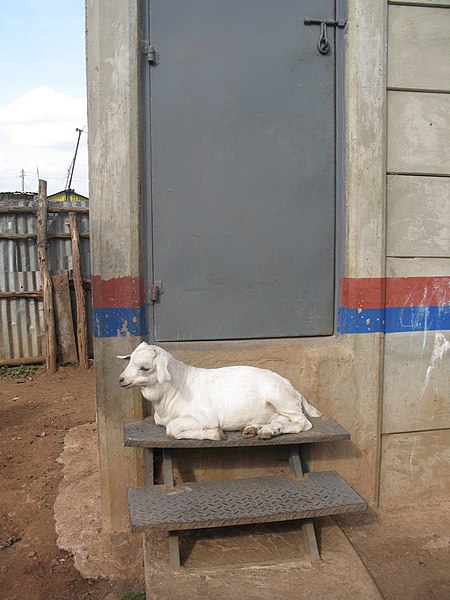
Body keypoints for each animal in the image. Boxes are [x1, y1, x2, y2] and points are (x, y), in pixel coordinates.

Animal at [118, 342, 322, 440]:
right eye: (130, 360)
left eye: (145, 368)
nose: (121, 380)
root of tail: (293, 388)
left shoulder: (204, 417)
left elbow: (172, 429)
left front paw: (215, 434)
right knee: (282, 419)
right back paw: (260, 429)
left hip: (280, 398)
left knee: (303, 423)